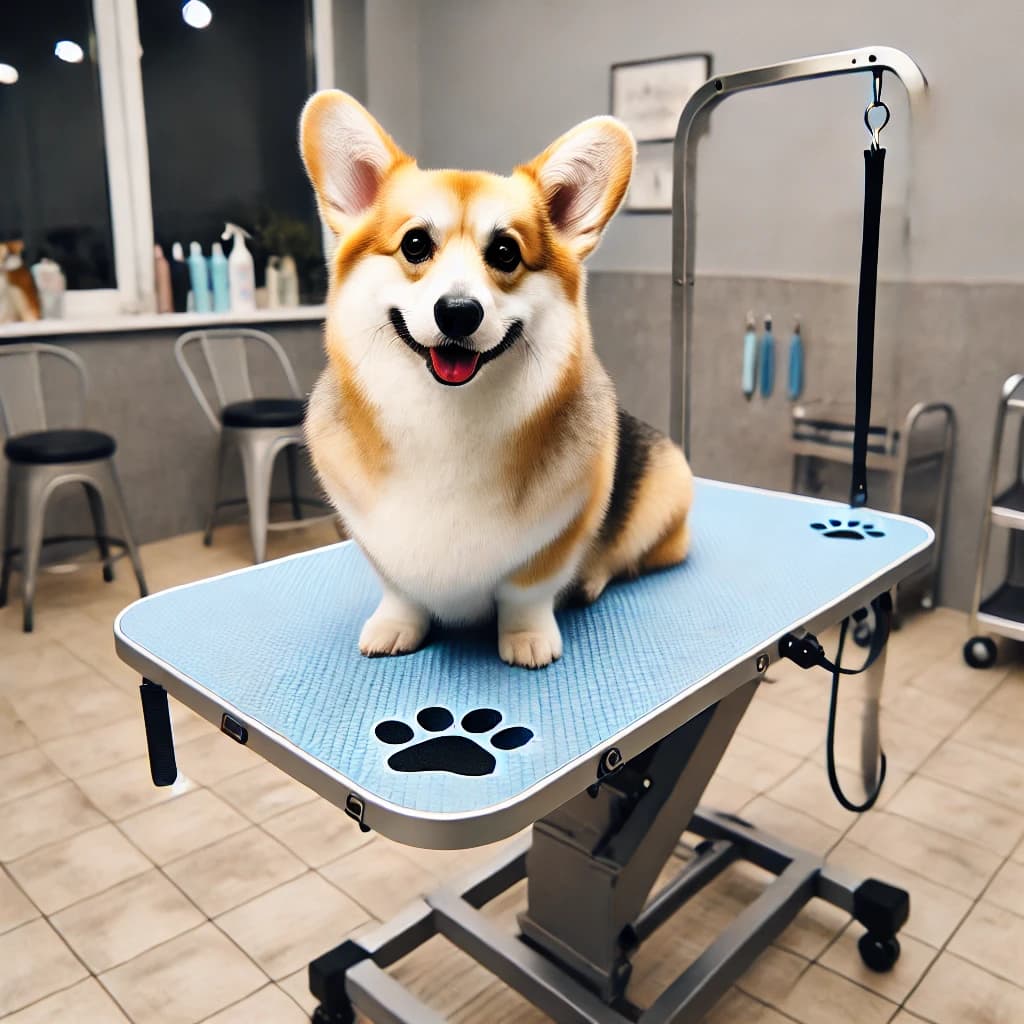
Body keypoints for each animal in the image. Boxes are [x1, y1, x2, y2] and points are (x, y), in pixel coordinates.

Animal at [299, 92, 692, 667]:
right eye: (414, 244)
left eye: (505, 252)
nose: (458, 313)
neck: (447, 419)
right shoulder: (373, 540)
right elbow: (400, 591)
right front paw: (396, 625)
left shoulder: (559, 535)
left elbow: (526, 592)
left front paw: (527, 638)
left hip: (668, 500)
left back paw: (593, 580)